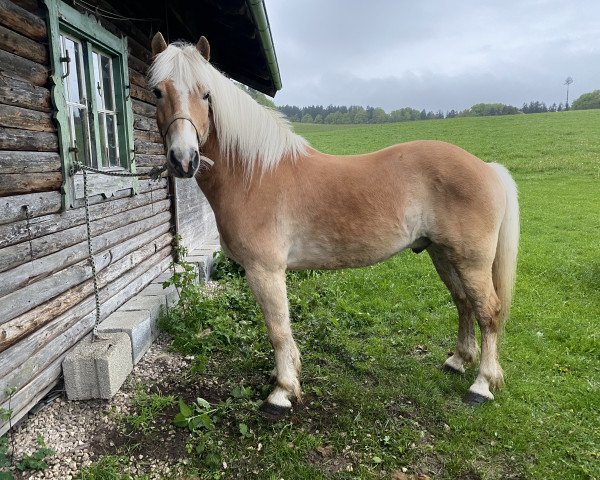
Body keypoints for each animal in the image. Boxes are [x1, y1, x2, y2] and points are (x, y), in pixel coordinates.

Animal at [148, 32, 516, 416]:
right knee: (463, 303)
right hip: (443, 254)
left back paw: (481, 385)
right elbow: (282, 330)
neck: (254, 174)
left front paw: (282, 391)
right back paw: (458, 361)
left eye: (206, 94)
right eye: (157, 91)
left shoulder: (265, 270)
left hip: (471, 261)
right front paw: (287, 374)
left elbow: (277, 329)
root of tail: (487, 168)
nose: (184, 159)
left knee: (488, 312)